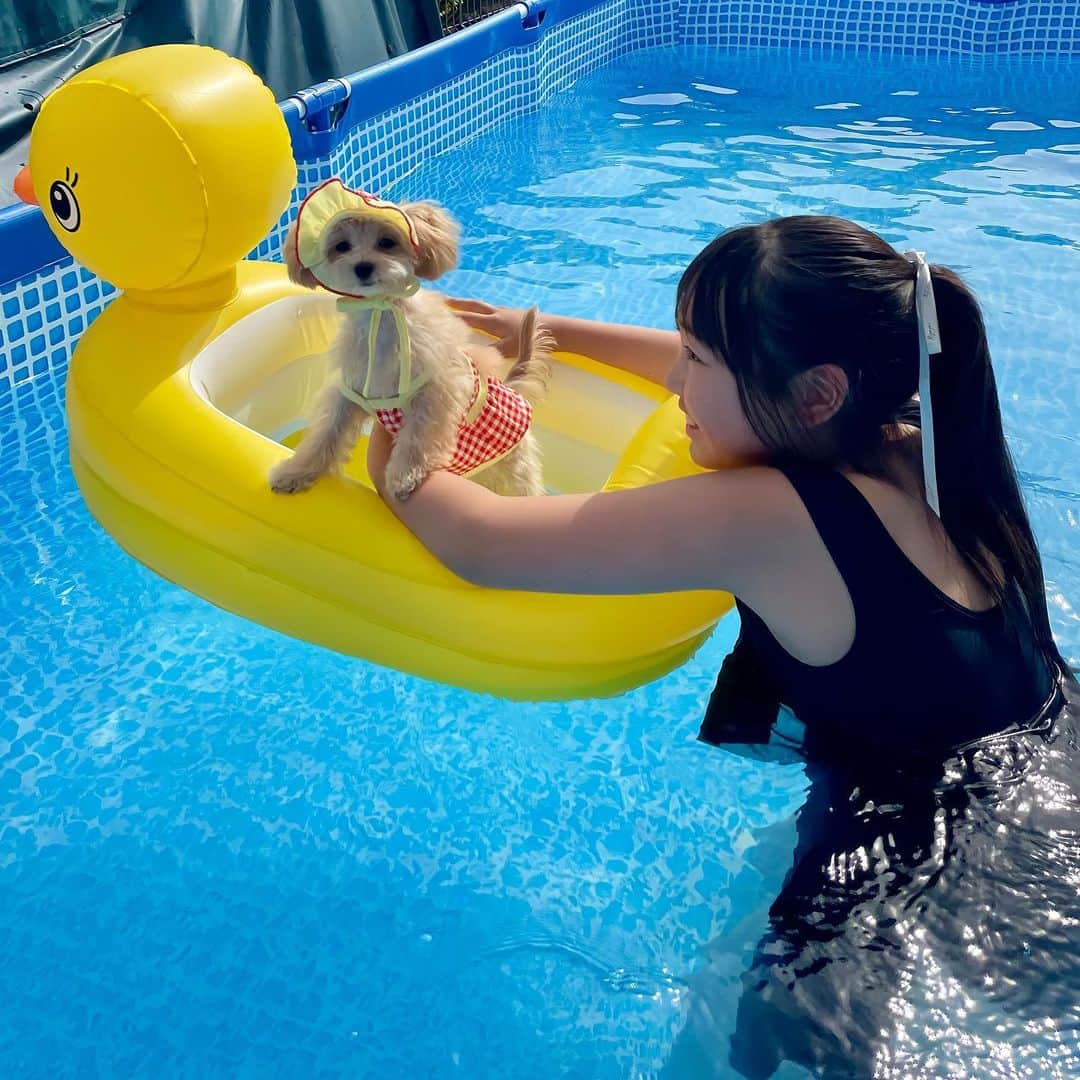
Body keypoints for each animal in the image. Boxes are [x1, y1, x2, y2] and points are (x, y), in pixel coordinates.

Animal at [266, 187, 552, 498]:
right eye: (341, 246)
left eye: (387, 242)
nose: (363, 267)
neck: (381, 316)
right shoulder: (351, 392)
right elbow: (326, 433)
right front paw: (296, 471)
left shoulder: (436, 390)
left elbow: (419, 437)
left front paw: (404, 476)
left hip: (514, 472)